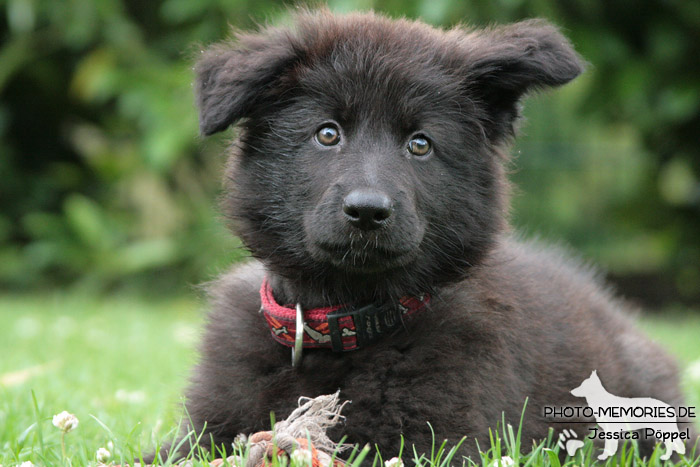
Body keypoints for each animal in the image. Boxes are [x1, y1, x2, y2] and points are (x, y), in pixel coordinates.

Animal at [152, 9, 688, 462]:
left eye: (420, 144)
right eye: (327, 134)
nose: (368, 211)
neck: (342, 321)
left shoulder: (438, 442)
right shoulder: (202, 431)